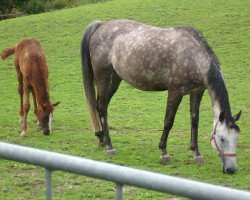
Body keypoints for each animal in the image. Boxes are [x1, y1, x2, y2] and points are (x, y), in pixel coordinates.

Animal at [81, 19, 241, 174]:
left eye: (236, 137)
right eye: (221, 138)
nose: (231, 169)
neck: (192, 56)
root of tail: (101, 25)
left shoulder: (197, 92)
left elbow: (195, 121)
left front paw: (196, 154)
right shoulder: (175, 92)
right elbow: (168, 121)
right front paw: (164, 153)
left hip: (115, 79)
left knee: (99, 106)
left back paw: (101, 140)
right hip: (103, 77)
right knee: (102, 108)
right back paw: (109, 146)